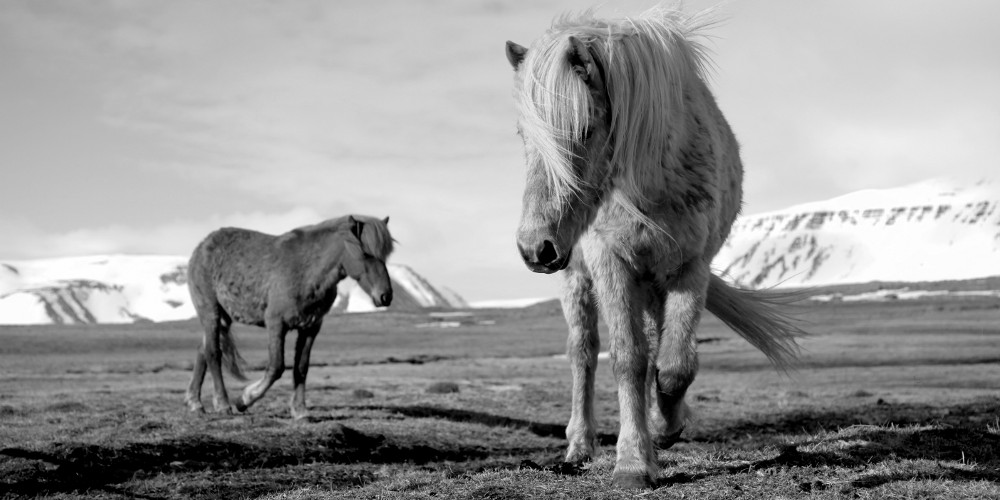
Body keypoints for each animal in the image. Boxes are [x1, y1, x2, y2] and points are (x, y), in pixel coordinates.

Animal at [185, 214, 394, 418]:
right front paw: (244, 399)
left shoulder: (311, 327)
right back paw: (222, 404)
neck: (307, 270)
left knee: (202, 350)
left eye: (385, 255)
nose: (386, 296)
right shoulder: (276, 324)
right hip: (210, 311)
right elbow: (276, 367)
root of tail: (202, 246)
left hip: (223, 318)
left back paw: (195, 403)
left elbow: (301, 368)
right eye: (365, 253)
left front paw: (300, 410)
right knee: (213, 353)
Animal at [508, 7, 804, 488]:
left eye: (584, 129)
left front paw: (666, 426)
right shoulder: (611, 264)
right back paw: (579, 446)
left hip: (651, 283)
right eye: (523, 135)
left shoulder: (690, 267)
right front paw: (632, 462)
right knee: (583, 353)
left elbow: (676, 363)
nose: (536, 248)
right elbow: (628, 359)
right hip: (579, 280)